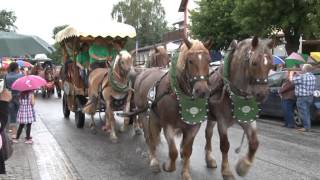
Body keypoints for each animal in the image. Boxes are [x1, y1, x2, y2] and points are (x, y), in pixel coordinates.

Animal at [132, 38, 212, 180]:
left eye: (208, 60)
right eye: (190, 61)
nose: (202, 91)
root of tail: (143, 73)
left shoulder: (193, 128)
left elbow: (187, 151)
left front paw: (185, 173)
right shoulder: (168, 125)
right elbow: (173, 152)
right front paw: (168, 165)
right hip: (143, 114)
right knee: (148, 137)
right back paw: (154, 161)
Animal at [205, 37, 272, 180]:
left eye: (271, 64)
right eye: (254, 63)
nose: (262, 94)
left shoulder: (247, 119)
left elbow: (254, 143)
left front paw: (243, 167)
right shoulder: (222, 121)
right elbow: (225, 145)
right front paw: (227, 171)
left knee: (208, 134)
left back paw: (209, 159)